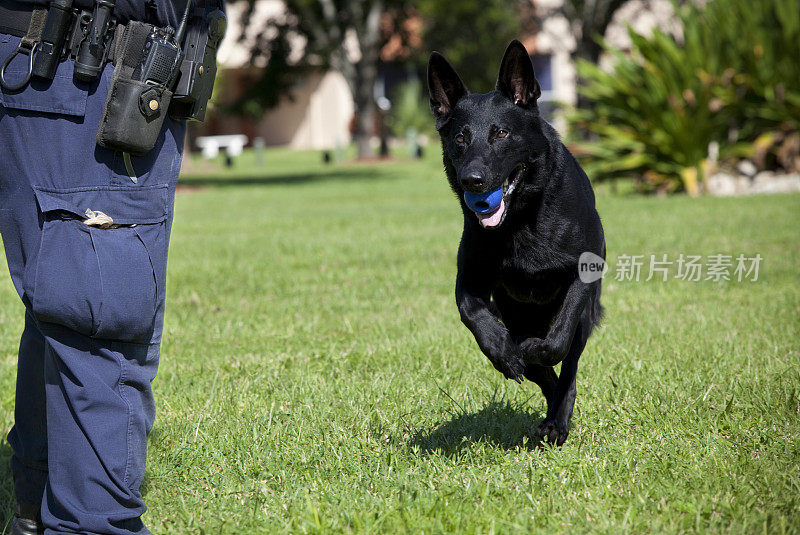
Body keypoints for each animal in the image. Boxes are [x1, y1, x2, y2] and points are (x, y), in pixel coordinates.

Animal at [428, 40, 604, 444]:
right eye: (460, 138)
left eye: (502, 134)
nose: (472, 180)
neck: (520, 222)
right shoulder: (471, 280)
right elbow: (472, 313)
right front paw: (503, 352)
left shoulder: (583, 274)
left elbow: (558, 338)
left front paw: (537, 351)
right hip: (515, 312)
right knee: (544, 375)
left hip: (585, 317)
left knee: (568, 366)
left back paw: (557, 419)